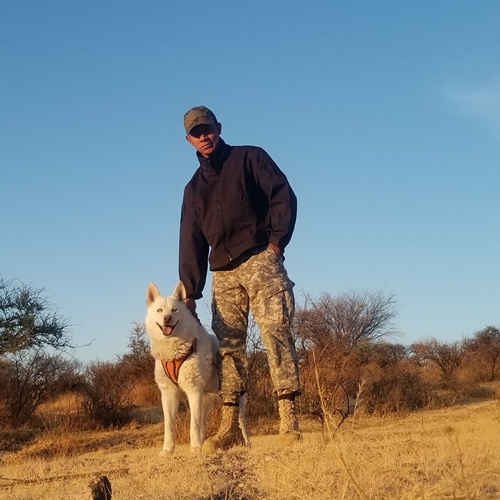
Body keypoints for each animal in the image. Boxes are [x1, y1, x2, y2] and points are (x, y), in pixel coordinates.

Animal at [145, 281, 250, 455]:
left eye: (174, 310)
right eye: (159, 310)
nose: (167, 318)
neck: (174, 352)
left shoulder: (193, 391)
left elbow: (193, 425)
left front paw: (194, 449)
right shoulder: (169, 394)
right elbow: (169, 426)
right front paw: (168, 450)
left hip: (237, 400)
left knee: (241, 422)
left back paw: (247, 443)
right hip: (206, 399)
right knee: (203, 423)